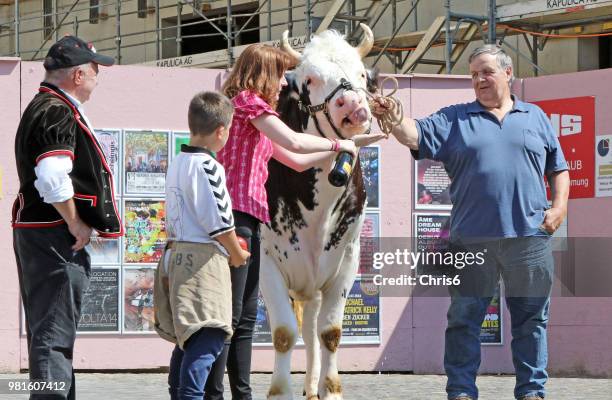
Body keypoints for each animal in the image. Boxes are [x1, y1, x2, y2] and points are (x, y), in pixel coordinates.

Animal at [260, 23, 376, 398]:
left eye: (362, 74)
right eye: (309, 79)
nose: (353, 104)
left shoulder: (347, 258)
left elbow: (330, 333)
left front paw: (331, 389)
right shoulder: (266, 261)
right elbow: (283, 333)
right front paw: (280, 391)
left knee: (311, 327)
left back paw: (312, 386)